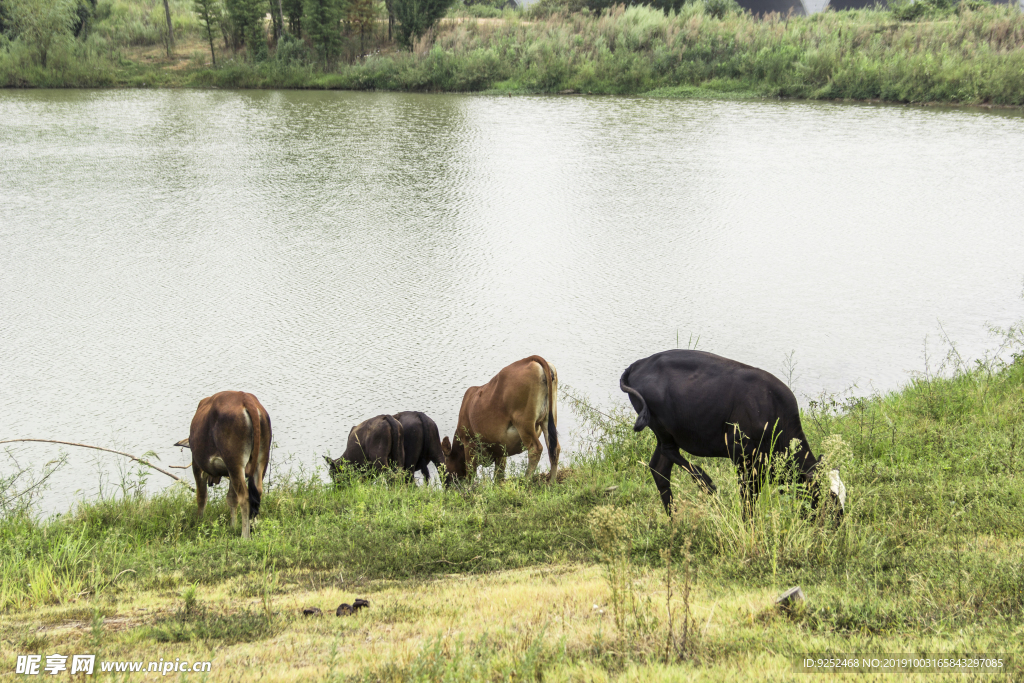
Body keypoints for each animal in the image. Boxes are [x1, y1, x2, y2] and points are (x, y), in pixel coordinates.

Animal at [175, 389, 272, 540]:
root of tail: (245, 398)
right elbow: (231, 498)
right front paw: (233, 526)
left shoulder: (197, 465)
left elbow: (201, 497)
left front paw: (199, 523)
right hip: (260, 461)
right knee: (257, 493)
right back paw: (253, 528)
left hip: (234, 463)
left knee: (245, 497)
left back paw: (245, 536)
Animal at [618, 352, 843, 518]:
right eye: (828, 497)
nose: (838, 524)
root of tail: (640, 363)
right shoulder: (742, 455)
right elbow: (748, 498)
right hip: (662, 427)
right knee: (669, 452)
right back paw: (705, 482)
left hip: (664, 431)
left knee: (659, 468)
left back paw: (673, 519)